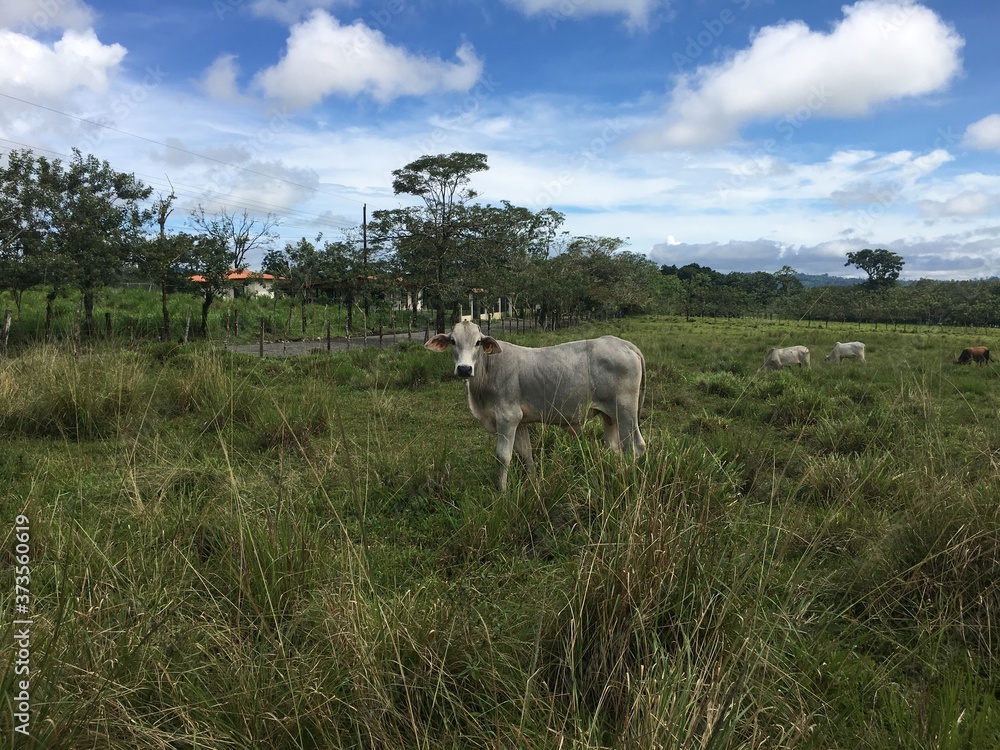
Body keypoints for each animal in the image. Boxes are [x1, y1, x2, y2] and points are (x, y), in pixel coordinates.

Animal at [425, 321, 646, 490]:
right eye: (453, 341)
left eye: (478, 342)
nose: (464, 369)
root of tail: (625, 344)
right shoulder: (520, 422)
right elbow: (526, 454)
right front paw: (532, 482)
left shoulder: (507, 418)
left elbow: (503, 456)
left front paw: (501, 492)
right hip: (610, 416)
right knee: (615, 448)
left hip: (625, 412)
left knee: (635, 447)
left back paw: (629, 479)